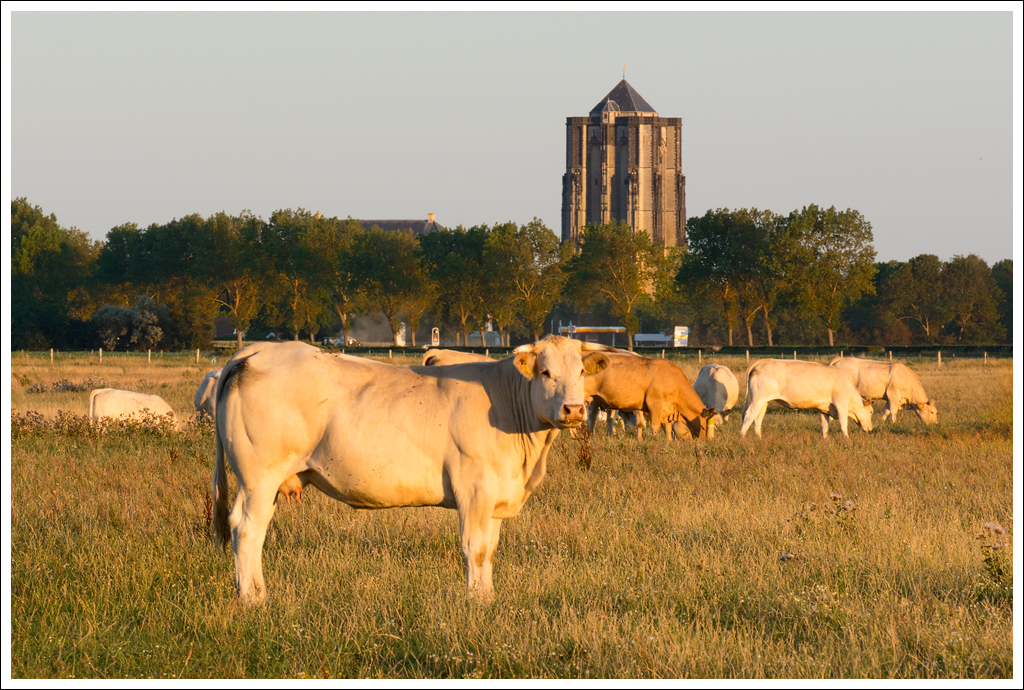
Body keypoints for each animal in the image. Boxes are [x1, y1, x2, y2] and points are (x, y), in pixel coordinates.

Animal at [211, 335, 610, 606]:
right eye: (545, 372)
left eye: (580, 371)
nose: (574, 409)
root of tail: (256, 350)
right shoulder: (474, 489)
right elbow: (474, 548)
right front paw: (475, 603)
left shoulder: (496, 496)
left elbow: (490, 550)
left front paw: (488, 598)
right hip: (259, 477)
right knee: (247, 529)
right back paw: (254, 598)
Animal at [581, 350, 716, 440]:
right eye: (703, 428)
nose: (701, 441)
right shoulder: (654, 404)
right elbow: (654, 427)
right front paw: (653, 442)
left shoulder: (665, 410)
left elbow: (667, 428)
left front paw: (668, 442)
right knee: (591, 417)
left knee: (604, 419)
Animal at [737, 358, 872, 438]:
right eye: (871, 412)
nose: (871, 429)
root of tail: (763, 361)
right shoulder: (841, 404)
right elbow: (843, 423)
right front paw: (846, 440)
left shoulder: (824, 408)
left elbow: (825, 425)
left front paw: (825, 440)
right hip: (757, 399)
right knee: (749, 415)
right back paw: (742, 437)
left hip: (763, 402)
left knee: (758, 418)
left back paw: (759, 438)